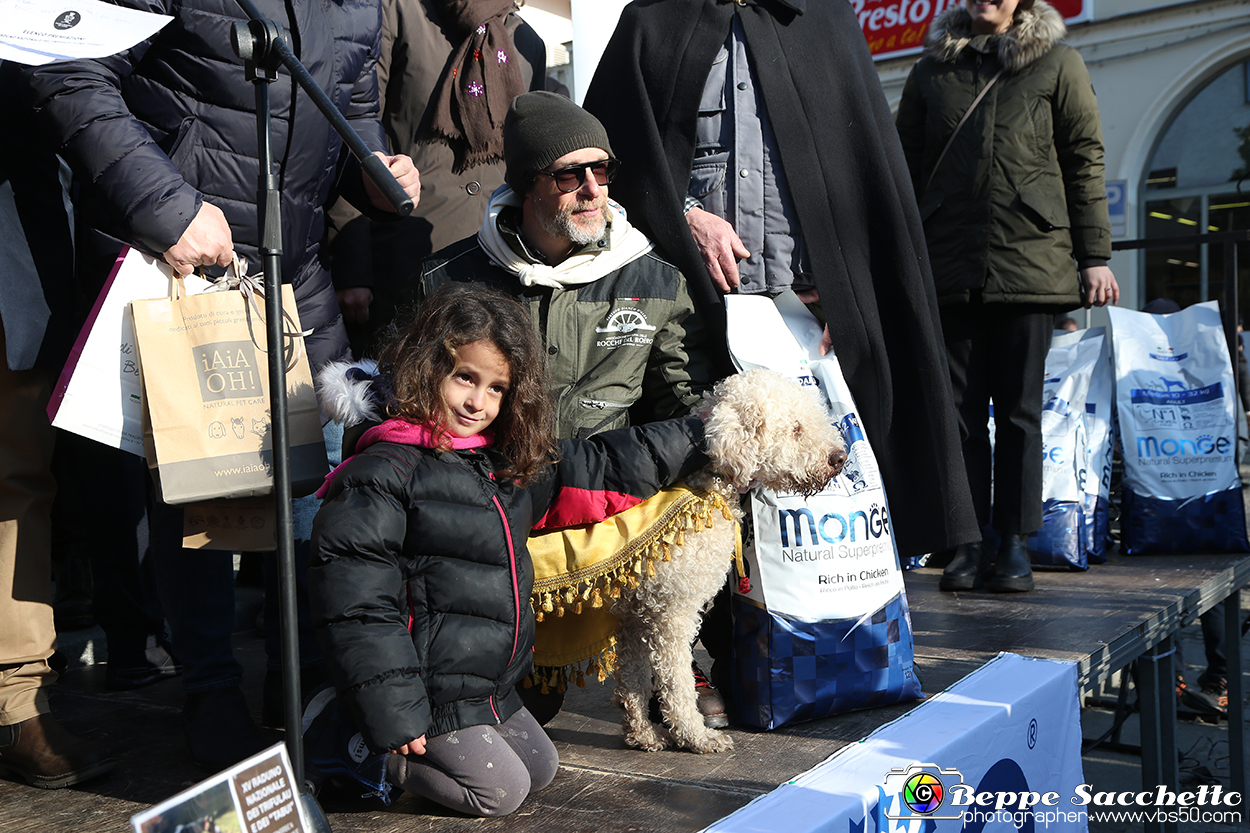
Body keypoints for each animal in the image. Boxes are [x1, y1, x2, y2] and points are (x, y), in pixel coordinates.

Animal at [610, 370, 845, 750]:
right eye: (795, 428)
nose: (839, 457)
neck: (701, 485)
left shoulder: (634, 612)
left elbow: (633, 679)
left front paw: (642, 733)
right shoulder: (671, 613)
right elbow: (675, 683)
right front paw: (695, 736)